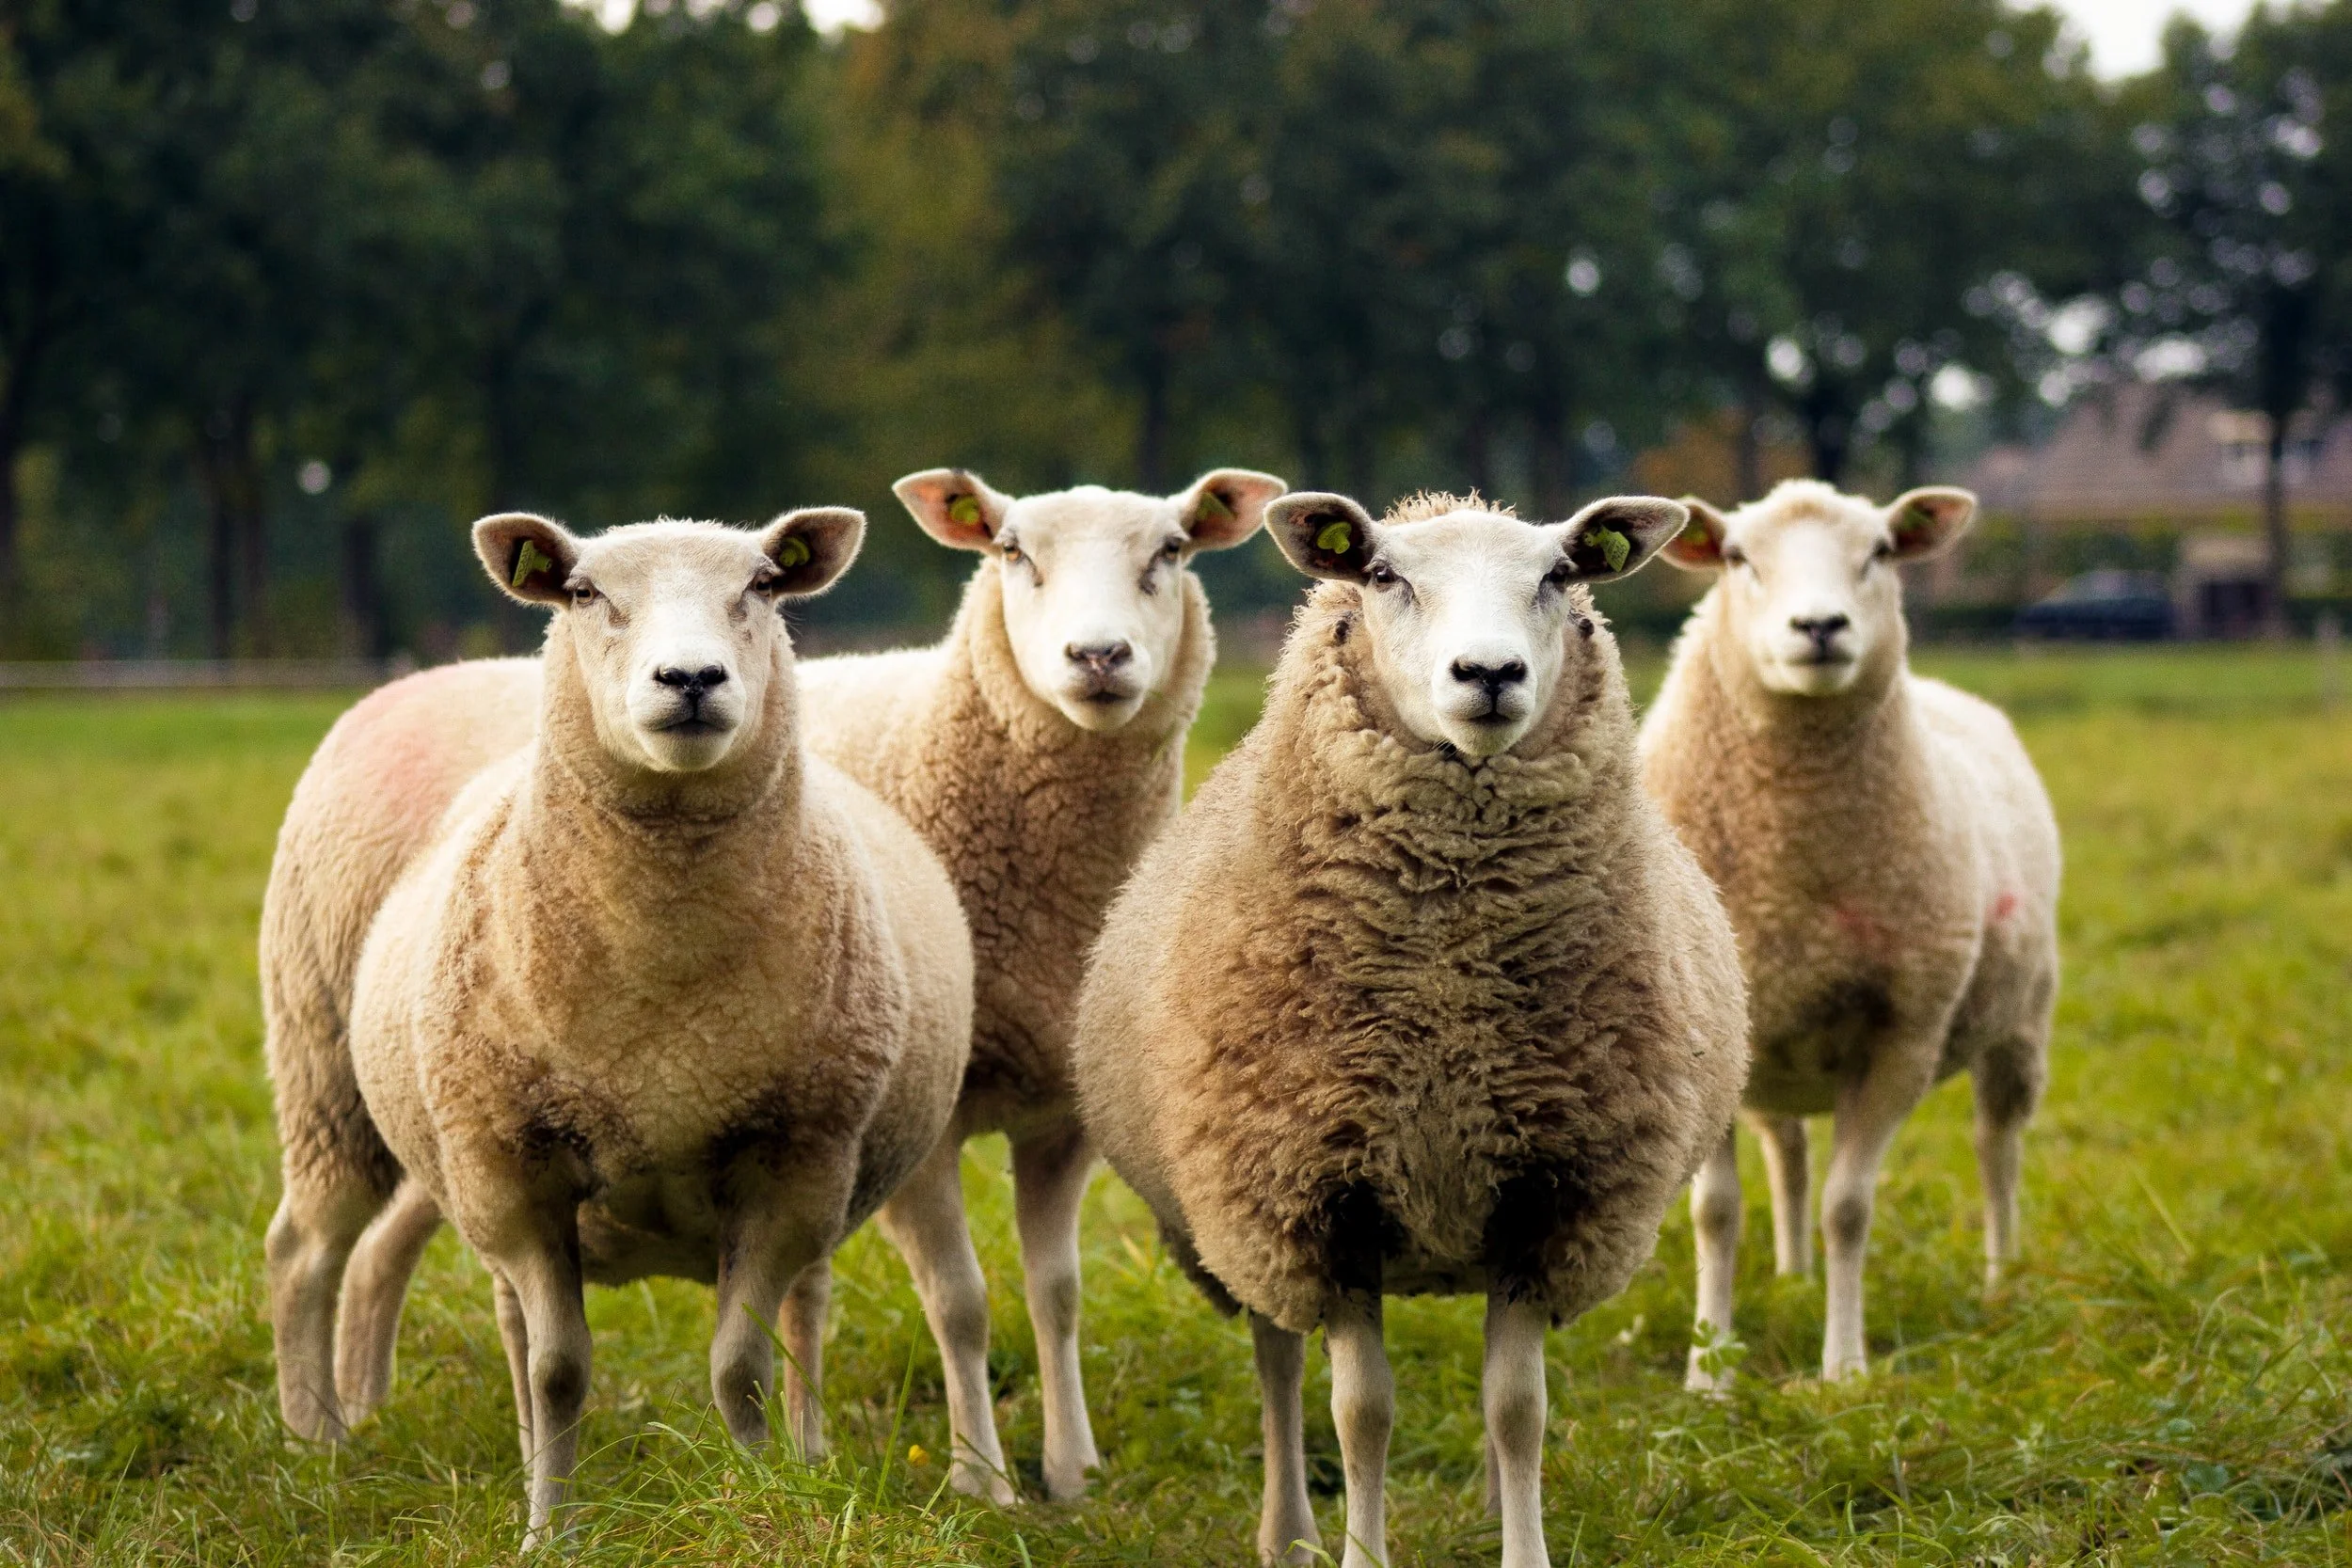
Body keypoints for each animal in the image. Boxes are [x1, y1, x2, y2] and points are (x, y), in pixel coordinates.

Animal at [295, 509, 975, 1547]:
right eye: (584, 593)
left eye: (763, 584)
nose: (690, 678)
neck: (663, 1000)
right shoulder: (513, 1167)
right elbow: (557, 1369)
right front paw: (549, 1533)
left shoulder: (793, 1162)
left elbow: (743, 1366)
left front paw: (763, 1502)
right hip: (341, 1083)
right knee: (329, 1256)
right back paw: (318, 1444)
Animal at [791, 465, 1285, 1501]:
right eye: (1013, 551)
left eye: (1172, 548)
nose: (1097, 654)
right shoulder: (927, 1117)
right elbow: (961, 1301)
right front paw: (981, 1479)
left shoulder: (1064, 1113)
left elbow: (1056, 1293)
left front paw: (1070, 1468)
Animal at [1071, 491, 1749, 1568]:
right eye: (1384, 576)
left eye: (1561, 575)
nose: (1489, 674)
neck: (1448, 992)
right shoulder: (1317, 1196)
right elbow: (1360, 1413)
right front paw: (1359, 1551)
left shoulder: (1546, 1193)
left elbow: (1517, 1407)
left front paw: (1523, 1549)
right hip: (1244, 1224)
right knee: (1277, 1363)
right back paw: (1289, 1532)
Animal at [1639, 478, 2061, 1387]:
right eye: (1737, 557)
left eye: (1879, 551)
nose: (1820, 627)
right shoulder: (1703, 1043)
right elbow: (1716, 1211)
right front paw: (1709, 1371)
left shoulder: (1903, 1035)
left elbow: (1849, 1208)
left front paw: (1844, 1368)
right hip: (1772, 1052)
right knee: (1790, 1151)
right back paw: (1793, 1276)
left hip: (2020, 1021)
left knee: (1997, 1147)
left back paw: (2002, 1276)